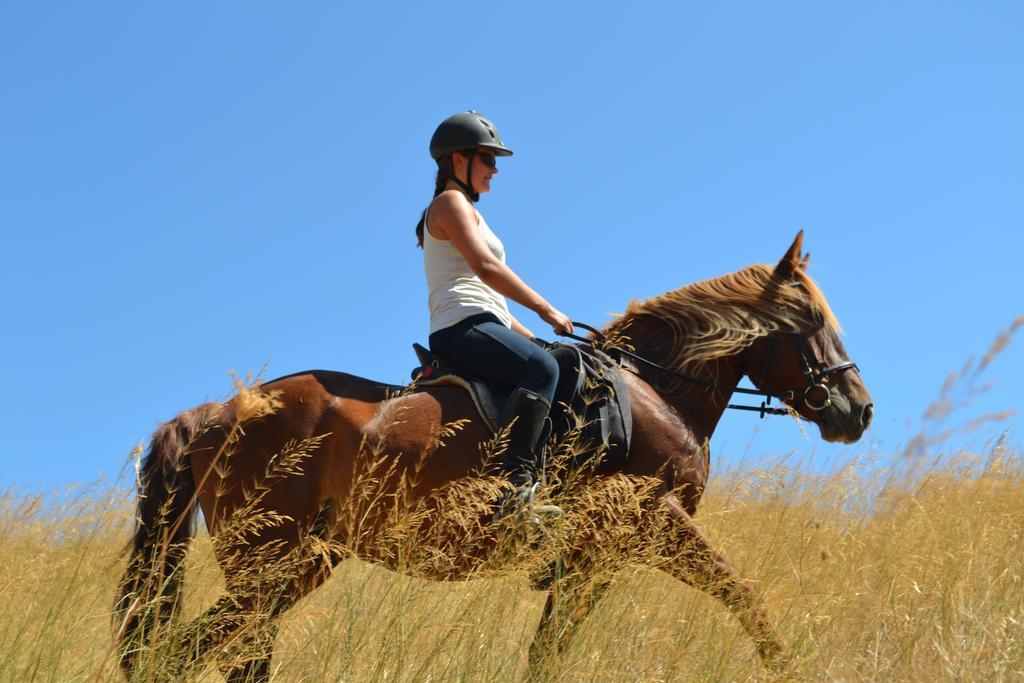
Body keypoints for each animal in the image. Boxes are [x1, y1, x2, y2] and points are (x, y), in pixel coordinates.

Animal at [117, 232, 872, 679]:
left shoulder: (595, 559)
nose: (858, 410)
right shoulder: (650, 526)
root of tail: (217, 413)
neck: (652, 390)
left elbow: (548, 651)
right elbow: (745, 596)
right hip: (270, 562)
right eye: (811, 323)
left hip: (296, 565)